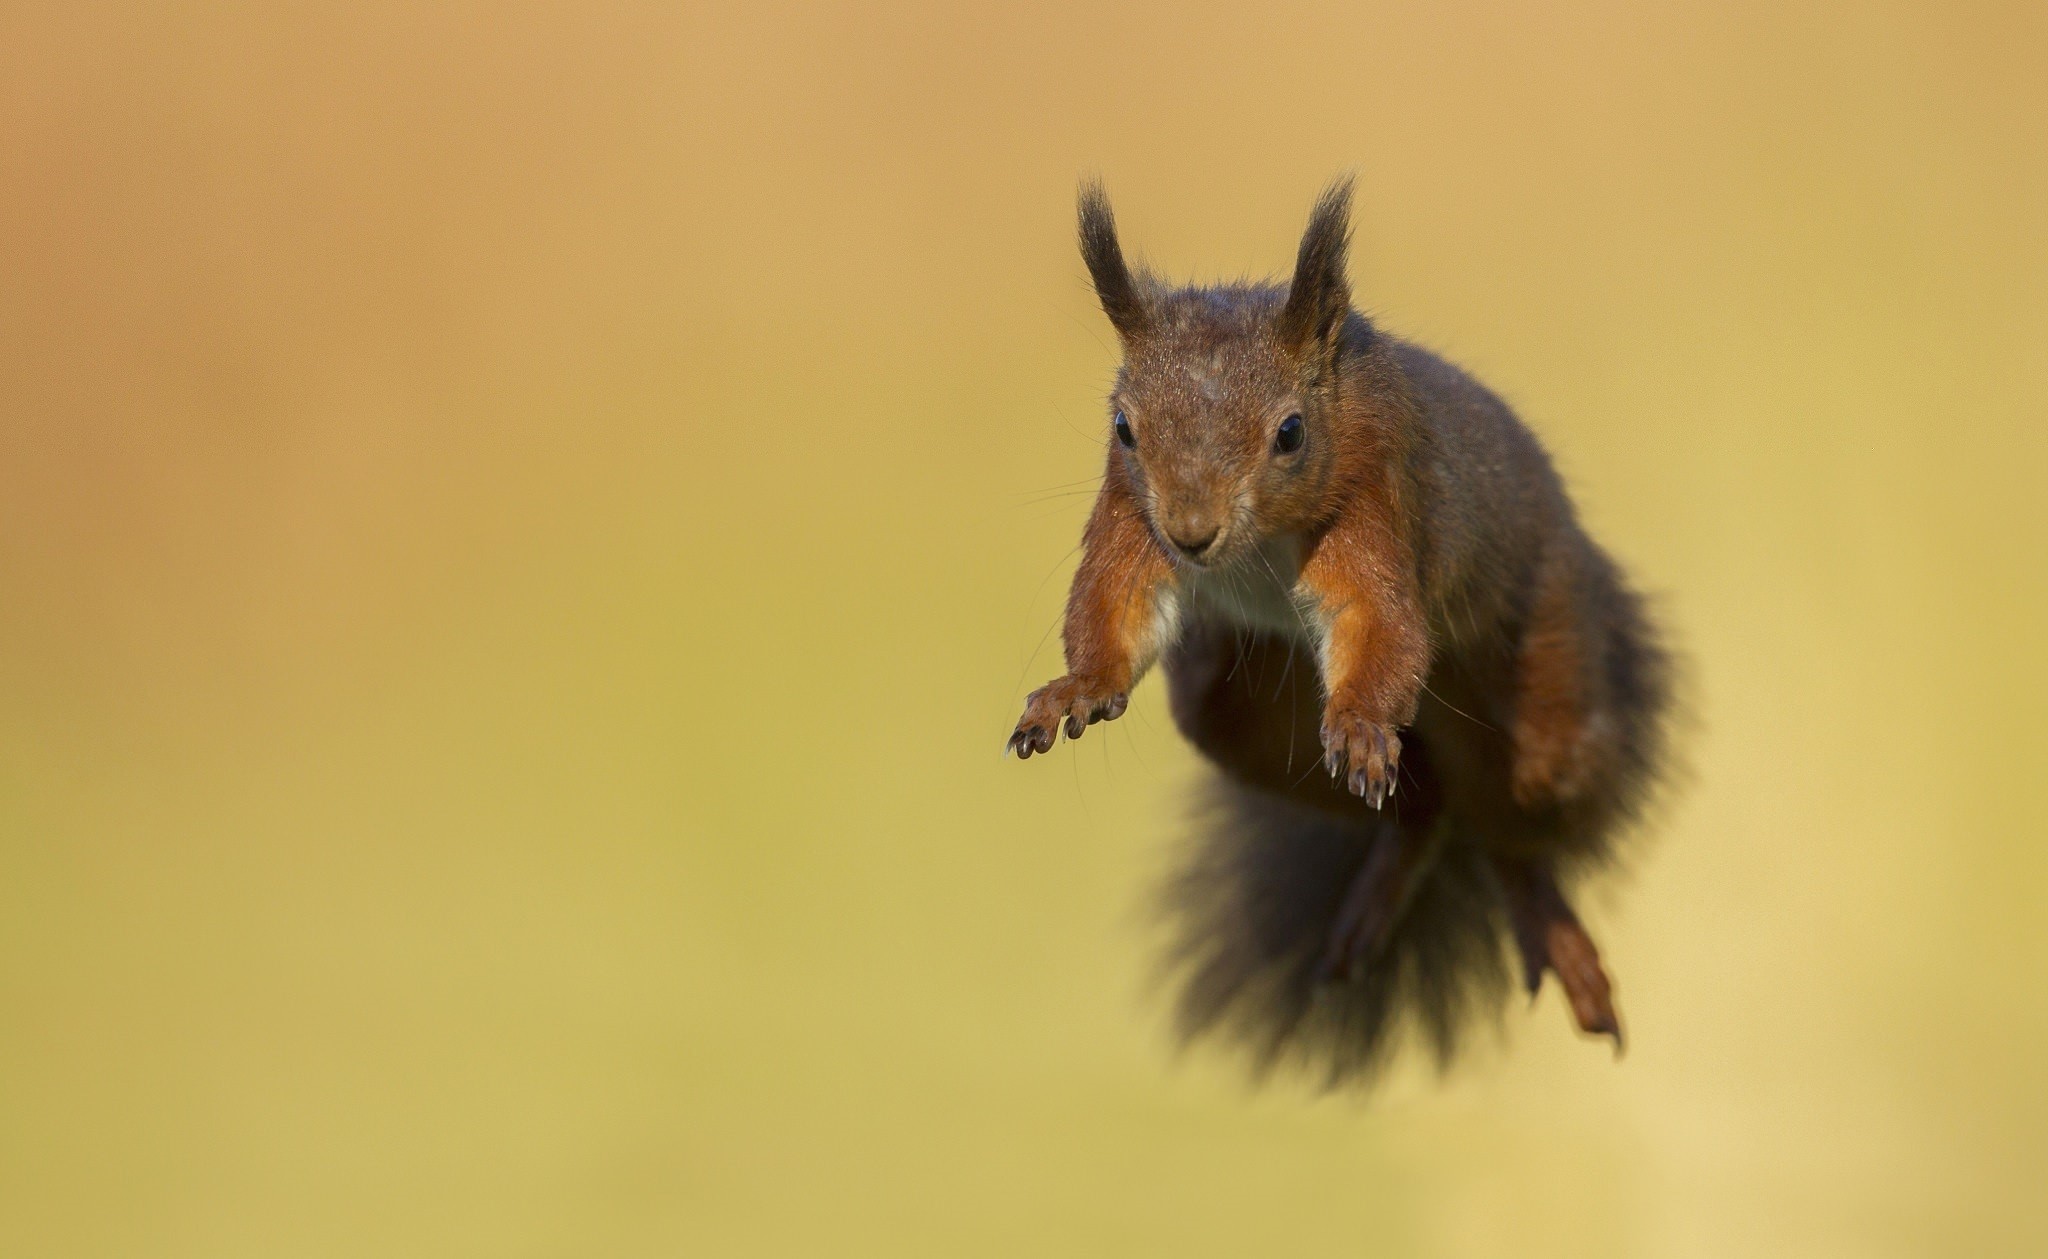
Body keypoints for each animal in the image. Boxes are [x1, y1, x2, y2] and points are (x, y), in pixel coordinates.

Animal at [1008, 178, 1673, 1086]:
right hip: (1244, 709)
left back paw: (1559, 938)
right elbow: (1113, 605)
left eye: (1290, 432)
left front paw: (1359, 721)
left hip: (1550, 693)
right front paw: (1076, 689)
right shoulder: (1129, 516)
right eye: (1124, 427)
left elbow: (1379, 622)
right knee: (1432, 808)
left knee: (1515, 817)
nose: (1191, 534)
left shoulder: (1377, 489)